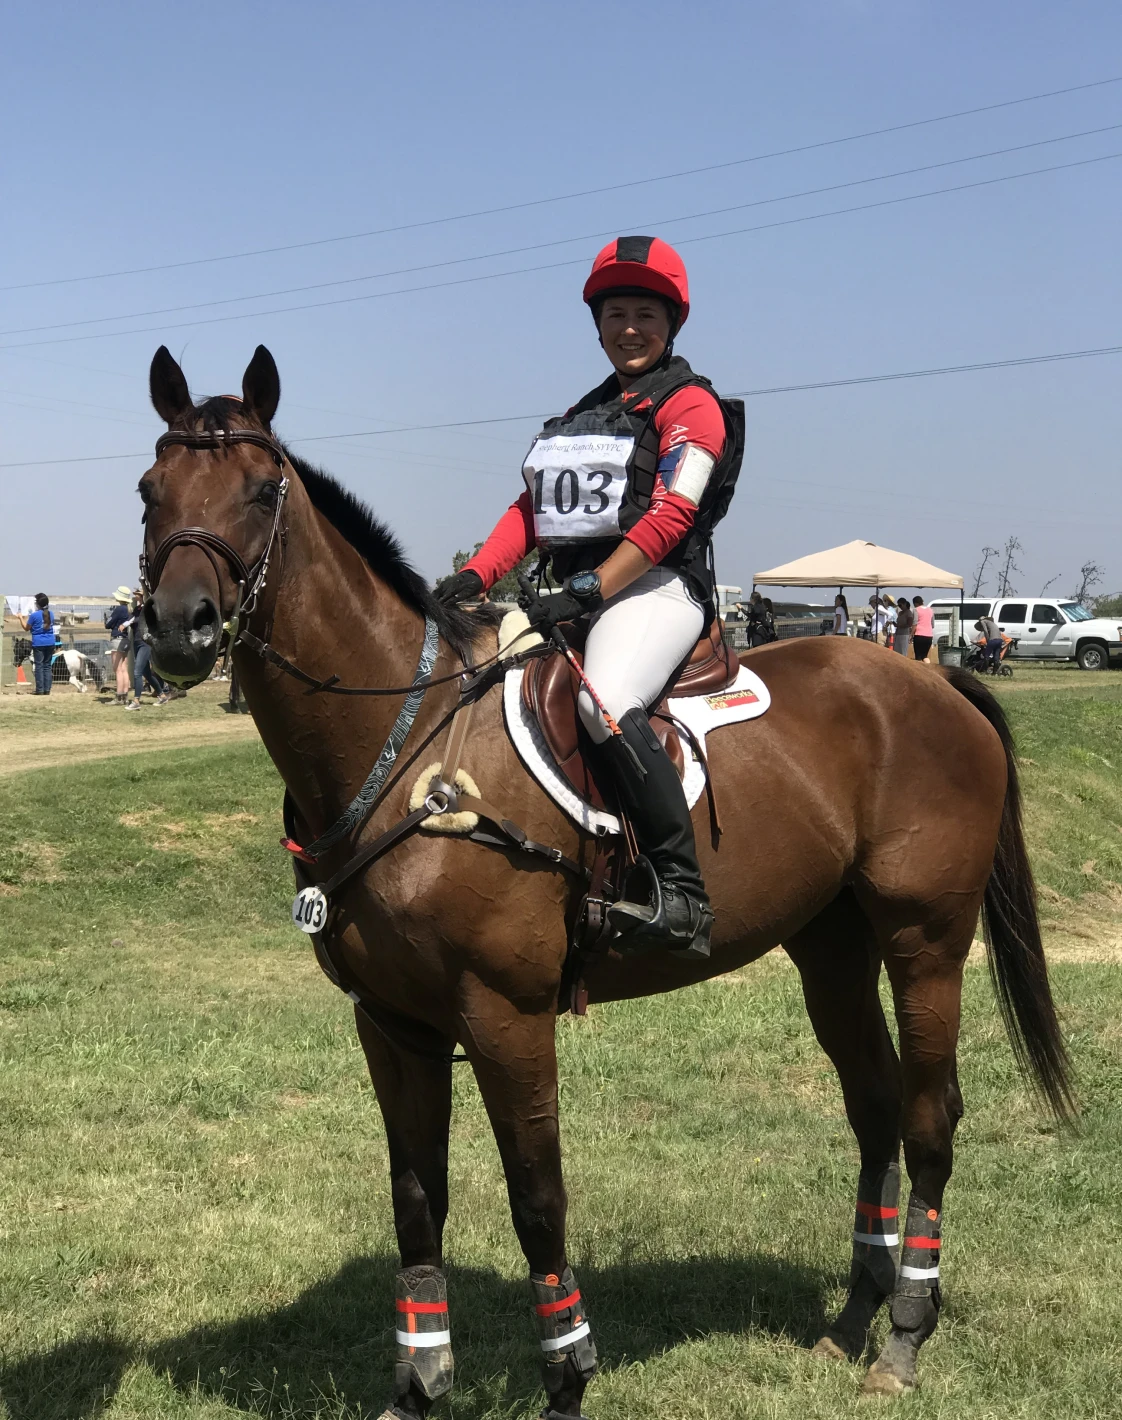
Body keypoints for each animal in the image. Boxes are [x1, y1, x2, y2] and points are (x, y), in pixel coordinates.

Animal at [140, 345, 1071, 1420]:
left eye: (261, 491)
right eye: (149, 491)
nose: (179, 628)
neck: (406, 745)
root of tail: (928, 678)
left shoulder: (504, 1014)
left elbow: (537, 1197)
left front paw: (567, 1380)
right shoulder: (393, 1022)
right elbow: (417, 1199)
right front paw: (417, 1387)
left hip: (925, 941)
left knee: (927, 1114)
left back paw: (907, 1333)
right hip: (830, 946)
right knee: (874, 1103)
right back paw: (852, 1320)